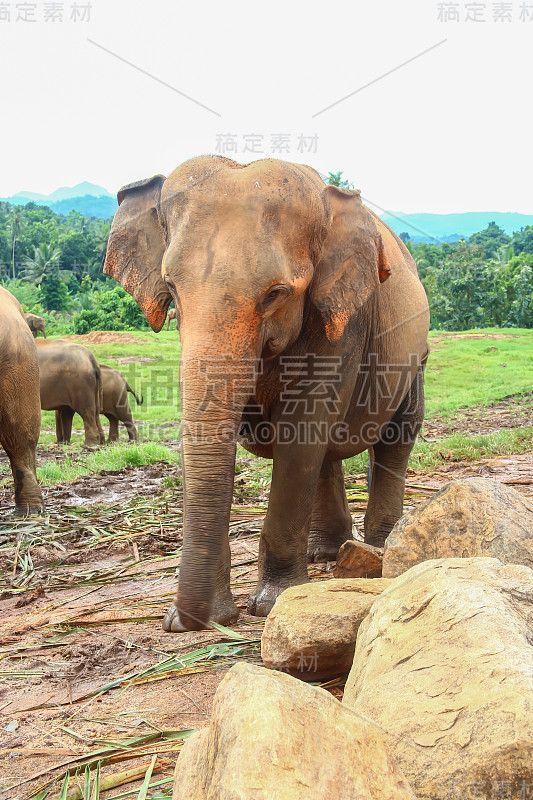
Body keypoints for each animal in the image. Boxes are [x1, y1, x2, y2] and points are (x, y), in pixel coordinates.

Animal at [103, 155, 428, 632]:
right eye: (172, 288)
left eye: (275, 293)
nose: (188, 620)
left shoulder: (340, 323)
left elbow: (300, 434)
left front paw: (271, 603)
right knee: (326, 455)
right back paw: (325, 553)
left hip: (415, 357)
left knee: (396, 435)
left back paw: (381, 547)